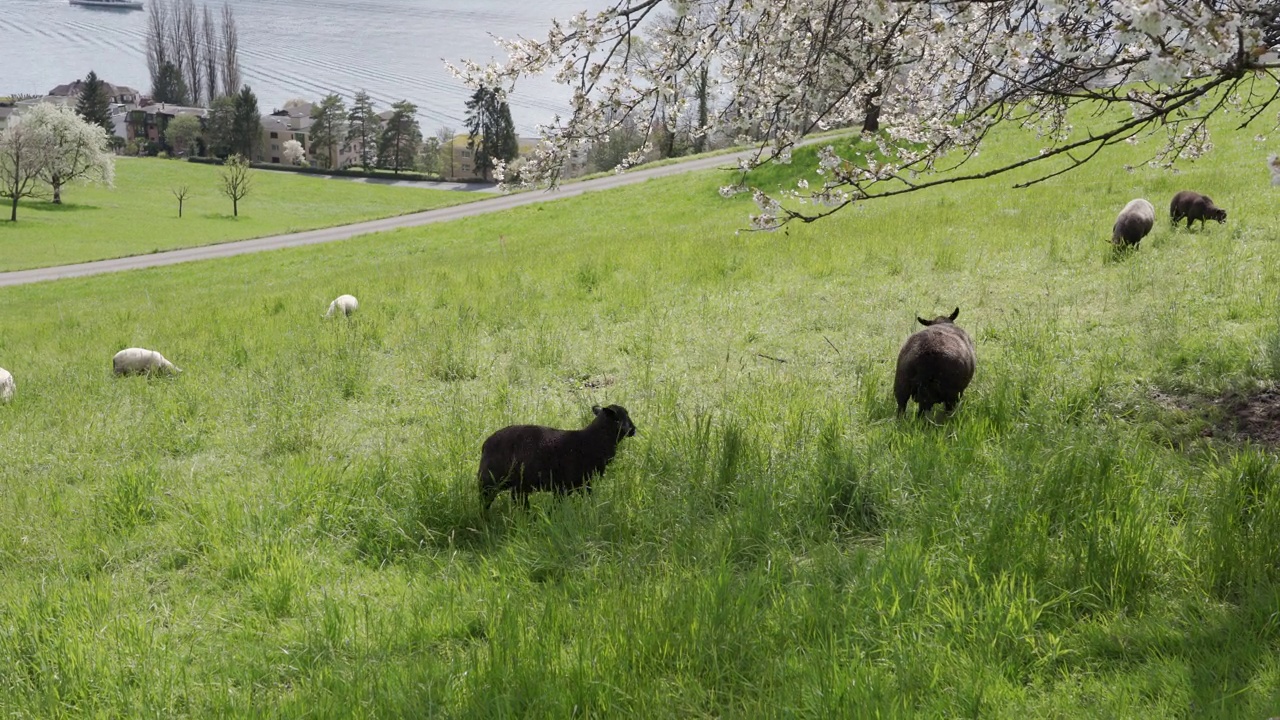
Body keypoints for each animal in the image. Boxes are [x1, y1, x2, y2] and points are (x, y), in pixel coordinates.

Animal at [478, 399, 637, 507]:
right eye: (622, 417)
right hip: (490, 481)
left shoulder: (582, 484)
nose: (634, 429)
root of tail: (486, 443)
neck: (592, 440)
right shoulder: (566, 485)